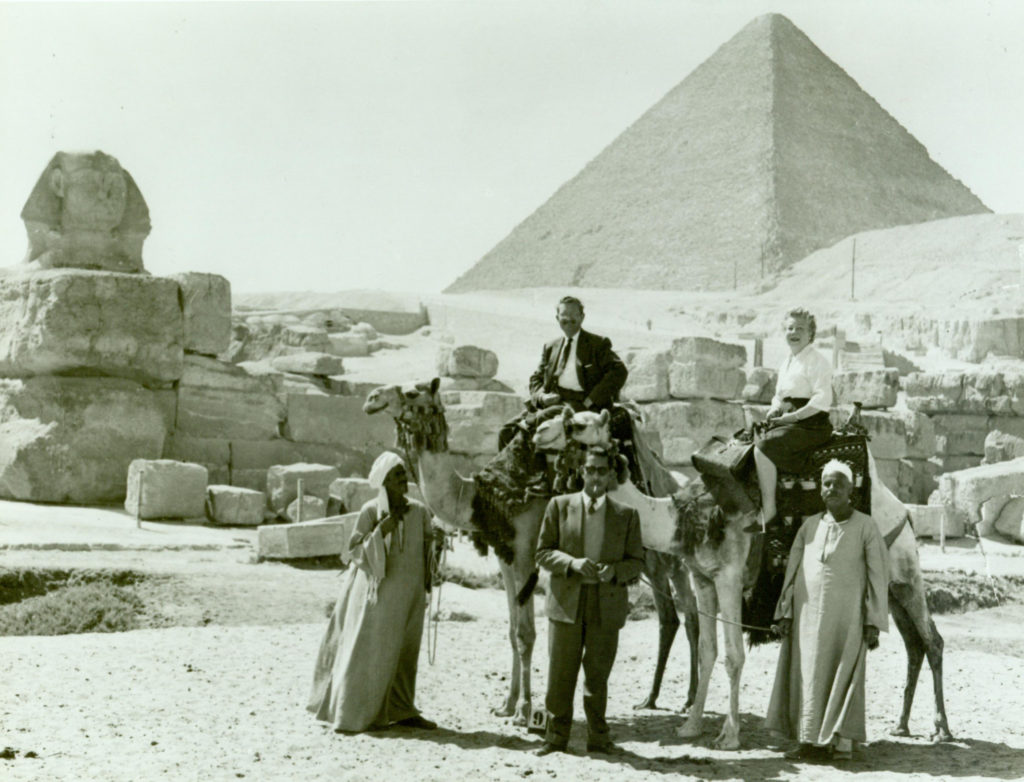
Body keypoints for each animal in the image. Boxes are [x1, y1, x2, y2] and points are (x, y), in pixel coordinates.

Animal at [362, 378, 696, 728]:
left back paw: (684, 701)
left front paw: (524, 711)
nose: (372, 398)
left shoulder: (525, 553)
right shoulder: (505, 555)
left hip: (672, 559)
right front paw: (506, 705)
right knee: (672, 617)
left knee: (688, 614)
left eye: (412, 391)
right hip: (654, 562)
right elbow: (512, 631)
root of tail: (675, 482)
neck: (480, 496)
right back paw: (655, 699)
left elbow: (526, 634)